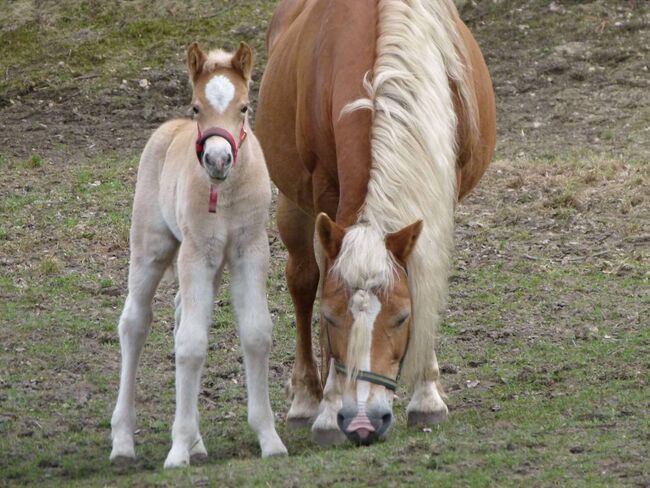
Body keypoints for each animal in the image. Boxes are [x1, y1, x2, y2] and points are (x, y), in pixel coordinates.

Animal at [109, 40, 286, 468]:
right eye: (196, 107)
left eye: (244, 107)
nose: (218, 160)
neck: (225, 194)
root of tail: (166, 129)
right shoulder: (195, 254)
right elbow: (190, 345)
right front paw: (176, 452)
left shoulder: (249, 251)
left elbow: (256, 333)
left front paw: (270, 439)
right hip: (152, 248)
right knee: (134, 322)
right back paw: (123, 443)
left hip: (213, 266)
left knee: (176, 313)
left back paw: (197, 442)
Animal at [256, 0, 494, 444]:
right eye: (331, 317)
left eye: (402, 317)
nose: (363, 421)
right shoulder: (324, 198)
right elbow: (320, 289)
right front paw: (328, 411)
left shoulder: (441, 190)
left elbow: (426, 274)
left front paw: (427, 396)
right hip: (292, 204)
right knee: (302, 281)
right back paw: (305, 400)